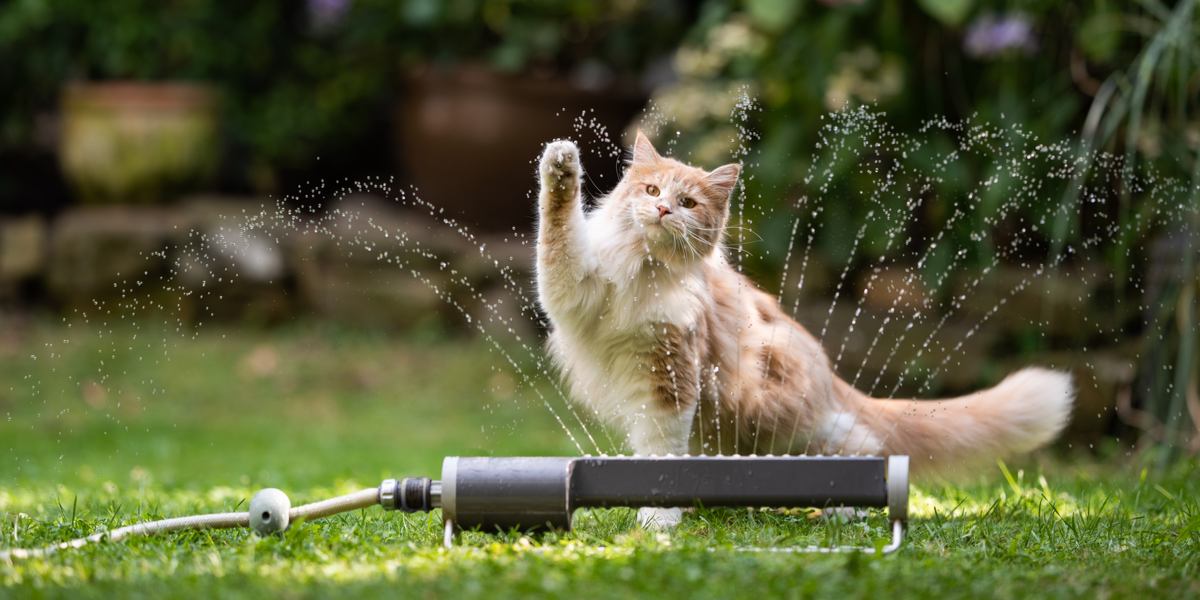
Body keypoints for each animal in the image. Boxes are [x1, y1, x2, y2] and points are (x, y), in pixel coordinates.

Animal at [530, 132, 1075, 530]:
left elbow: (661, 453)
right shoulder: (573, 289)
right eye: (650, 191)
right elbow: (555, 232)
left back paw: (849, 507)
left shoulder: (672, 376)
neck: (644, 270)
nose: (663, 210)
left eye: (686, 202)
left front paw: (659, 519)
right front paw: (560, 167)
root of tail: (829, 375)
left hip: (785, 421)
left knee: (865, 445)